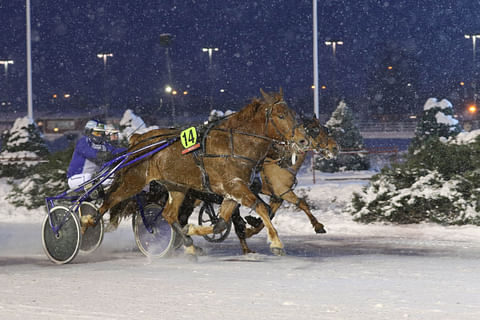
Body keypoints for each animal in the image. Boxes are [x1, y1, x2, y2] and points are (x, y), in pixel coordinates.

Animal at [83, 89, 312, 256]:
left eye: (293, 115)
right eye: (281, 115)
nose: (303, 141)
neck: (235, 145)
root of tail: (138, 139)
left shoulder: (232, 193)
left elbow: (221, 224)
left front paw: (192, 231)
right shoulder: (234, 187)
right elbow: (262, 208)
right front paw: (276, 242)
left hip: (177, 187)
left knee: (168, 214)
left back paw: (190, 244)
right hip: (134, 180)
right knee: (110, 200)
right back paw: (87, 224)